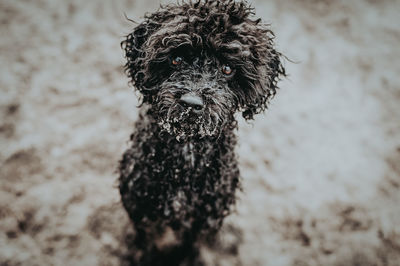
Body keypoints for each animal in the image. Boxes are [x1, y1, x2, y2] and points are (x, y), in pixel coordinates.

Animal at [118, 1, 284, 264]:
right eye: (176, 59)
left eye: (227, 68)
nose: (191, 103)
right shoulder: (141, 208)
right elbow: (146, 243)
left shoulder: (204, 217)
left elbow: (189, 245)